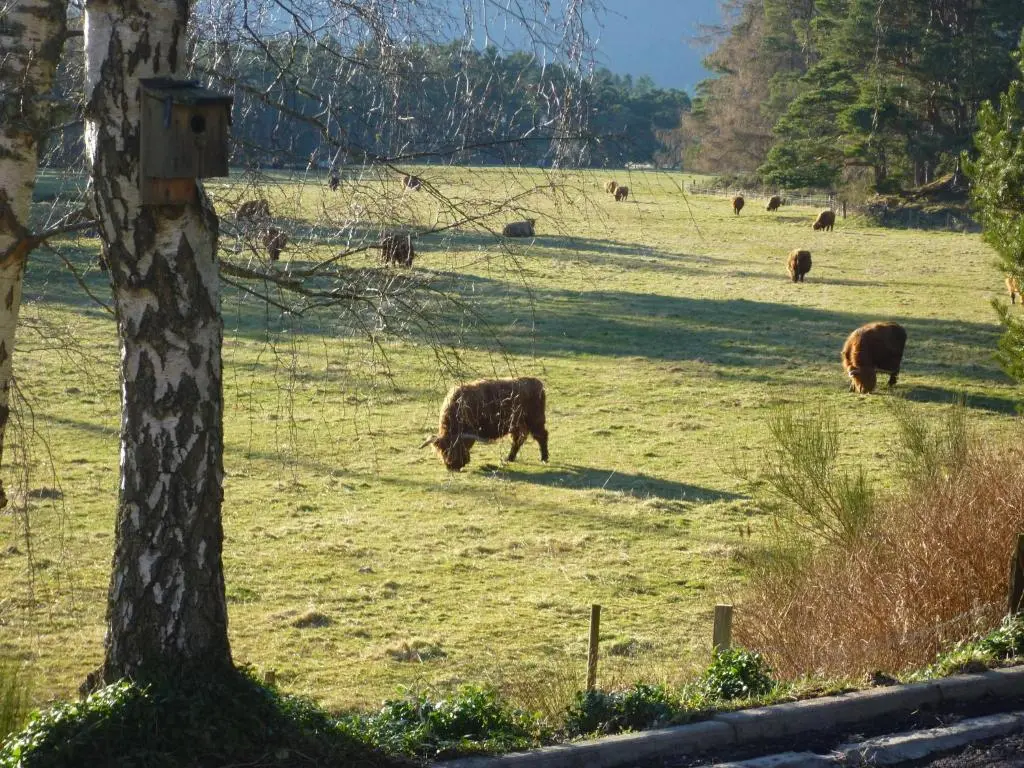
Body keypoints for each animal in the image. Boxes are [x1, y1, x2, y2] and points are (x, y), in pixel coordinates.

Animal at [420, 377, 549, 471]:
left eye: (454, 448)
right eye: (443, 451)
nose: (452, 466)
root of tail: (539, 384)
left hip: (536, 420)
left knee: (542, 436)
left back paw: (544, 458)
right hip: (517, 424)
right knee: (518, 439)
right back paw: (509, 458)